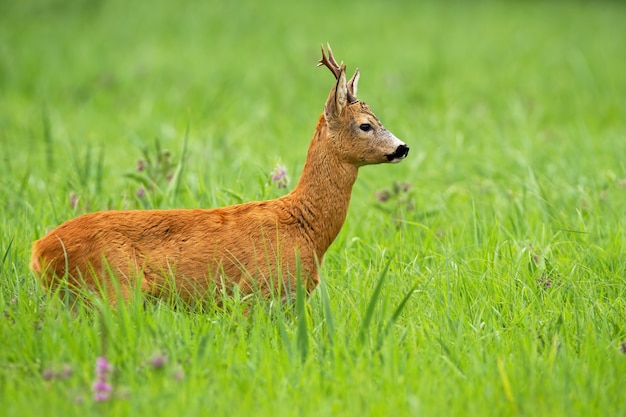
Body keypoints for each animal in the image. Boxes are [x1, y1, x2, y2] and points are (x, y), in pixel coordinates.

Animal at [30, 45, 410, 304]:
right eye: (366, 125)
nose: (402, 147)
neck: (305, 227)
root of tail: (38, 252)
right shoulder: (256, 291)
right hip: (111, 290)